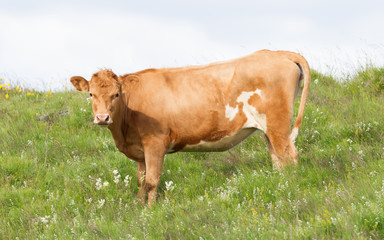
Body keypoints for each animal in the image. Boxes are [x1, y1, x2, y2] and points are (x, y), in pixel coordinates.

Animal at [70, 49, 310, 206]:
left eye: (116, 94)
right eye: (90, 94)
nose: (102, 117)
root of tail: (278, 53)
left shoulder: (155, 143)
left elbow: (151, 181)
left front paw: (150, 211)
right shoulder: (139, 150)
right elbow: (140, 180)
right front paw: (138, 206)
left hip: (278, 124)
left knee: (290, 157)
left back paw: (290, 191)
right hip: (269, 129)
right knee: (278, 160)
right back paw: (279, 187)